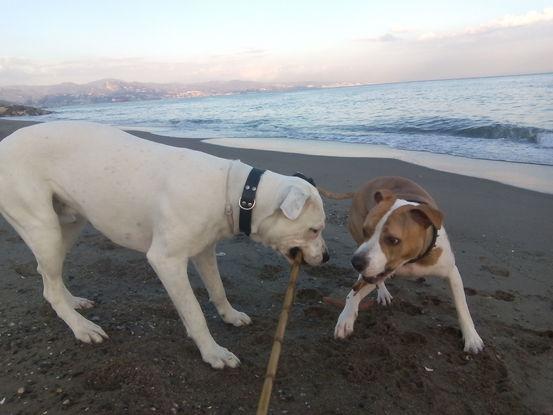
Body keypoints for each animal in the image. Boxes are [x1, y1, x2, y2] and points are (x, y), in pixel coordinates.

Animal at [0, 122, 328, 368]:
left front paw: (230, 315)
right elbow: (194, 311)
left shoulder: (204, 251)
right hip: (43, 227)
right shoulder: (167, 260)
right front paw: (212, 352)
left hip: (67, 225)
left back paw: (73, 303)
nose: (326, 257)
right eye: (314, 230)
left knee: (48, 276)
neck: (238, 193)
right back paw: (81, 327)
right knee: (49, 286)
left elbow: (217, 289)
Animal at [320, 176, 484, 354]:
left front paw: (471, 337)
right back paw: (382, 292)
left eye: (393, 240)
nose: (356, 262)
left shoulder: (452, 272)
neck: (412, 260)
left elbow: (462, 307)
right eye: (365, 231)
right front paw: (346, 317)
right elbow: (354, 293)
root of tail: (361, 188)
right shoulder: (370, 271)